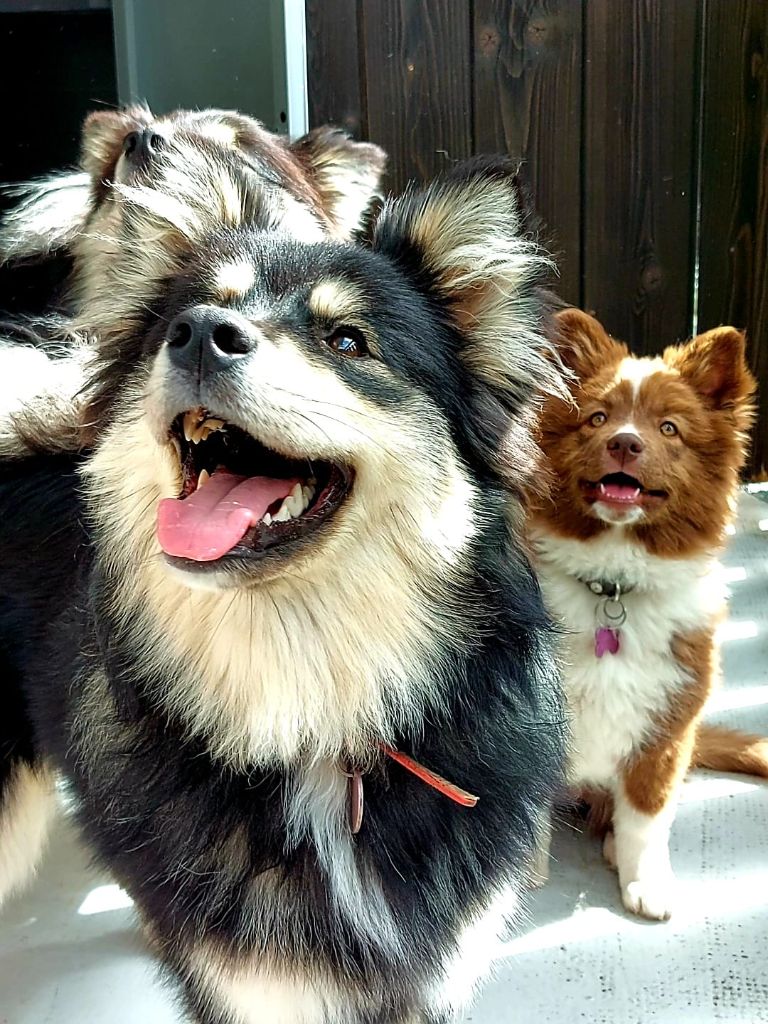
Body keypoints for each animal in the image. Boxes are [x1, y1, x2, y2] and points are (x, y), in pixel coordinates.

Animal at [529, 307, 768, 921]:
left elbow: (647, 815)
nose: (624, 443)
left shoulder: (669, 723)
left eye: (669, 429)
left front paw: (647, 881)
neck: (614, 586)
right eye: (596, 417)